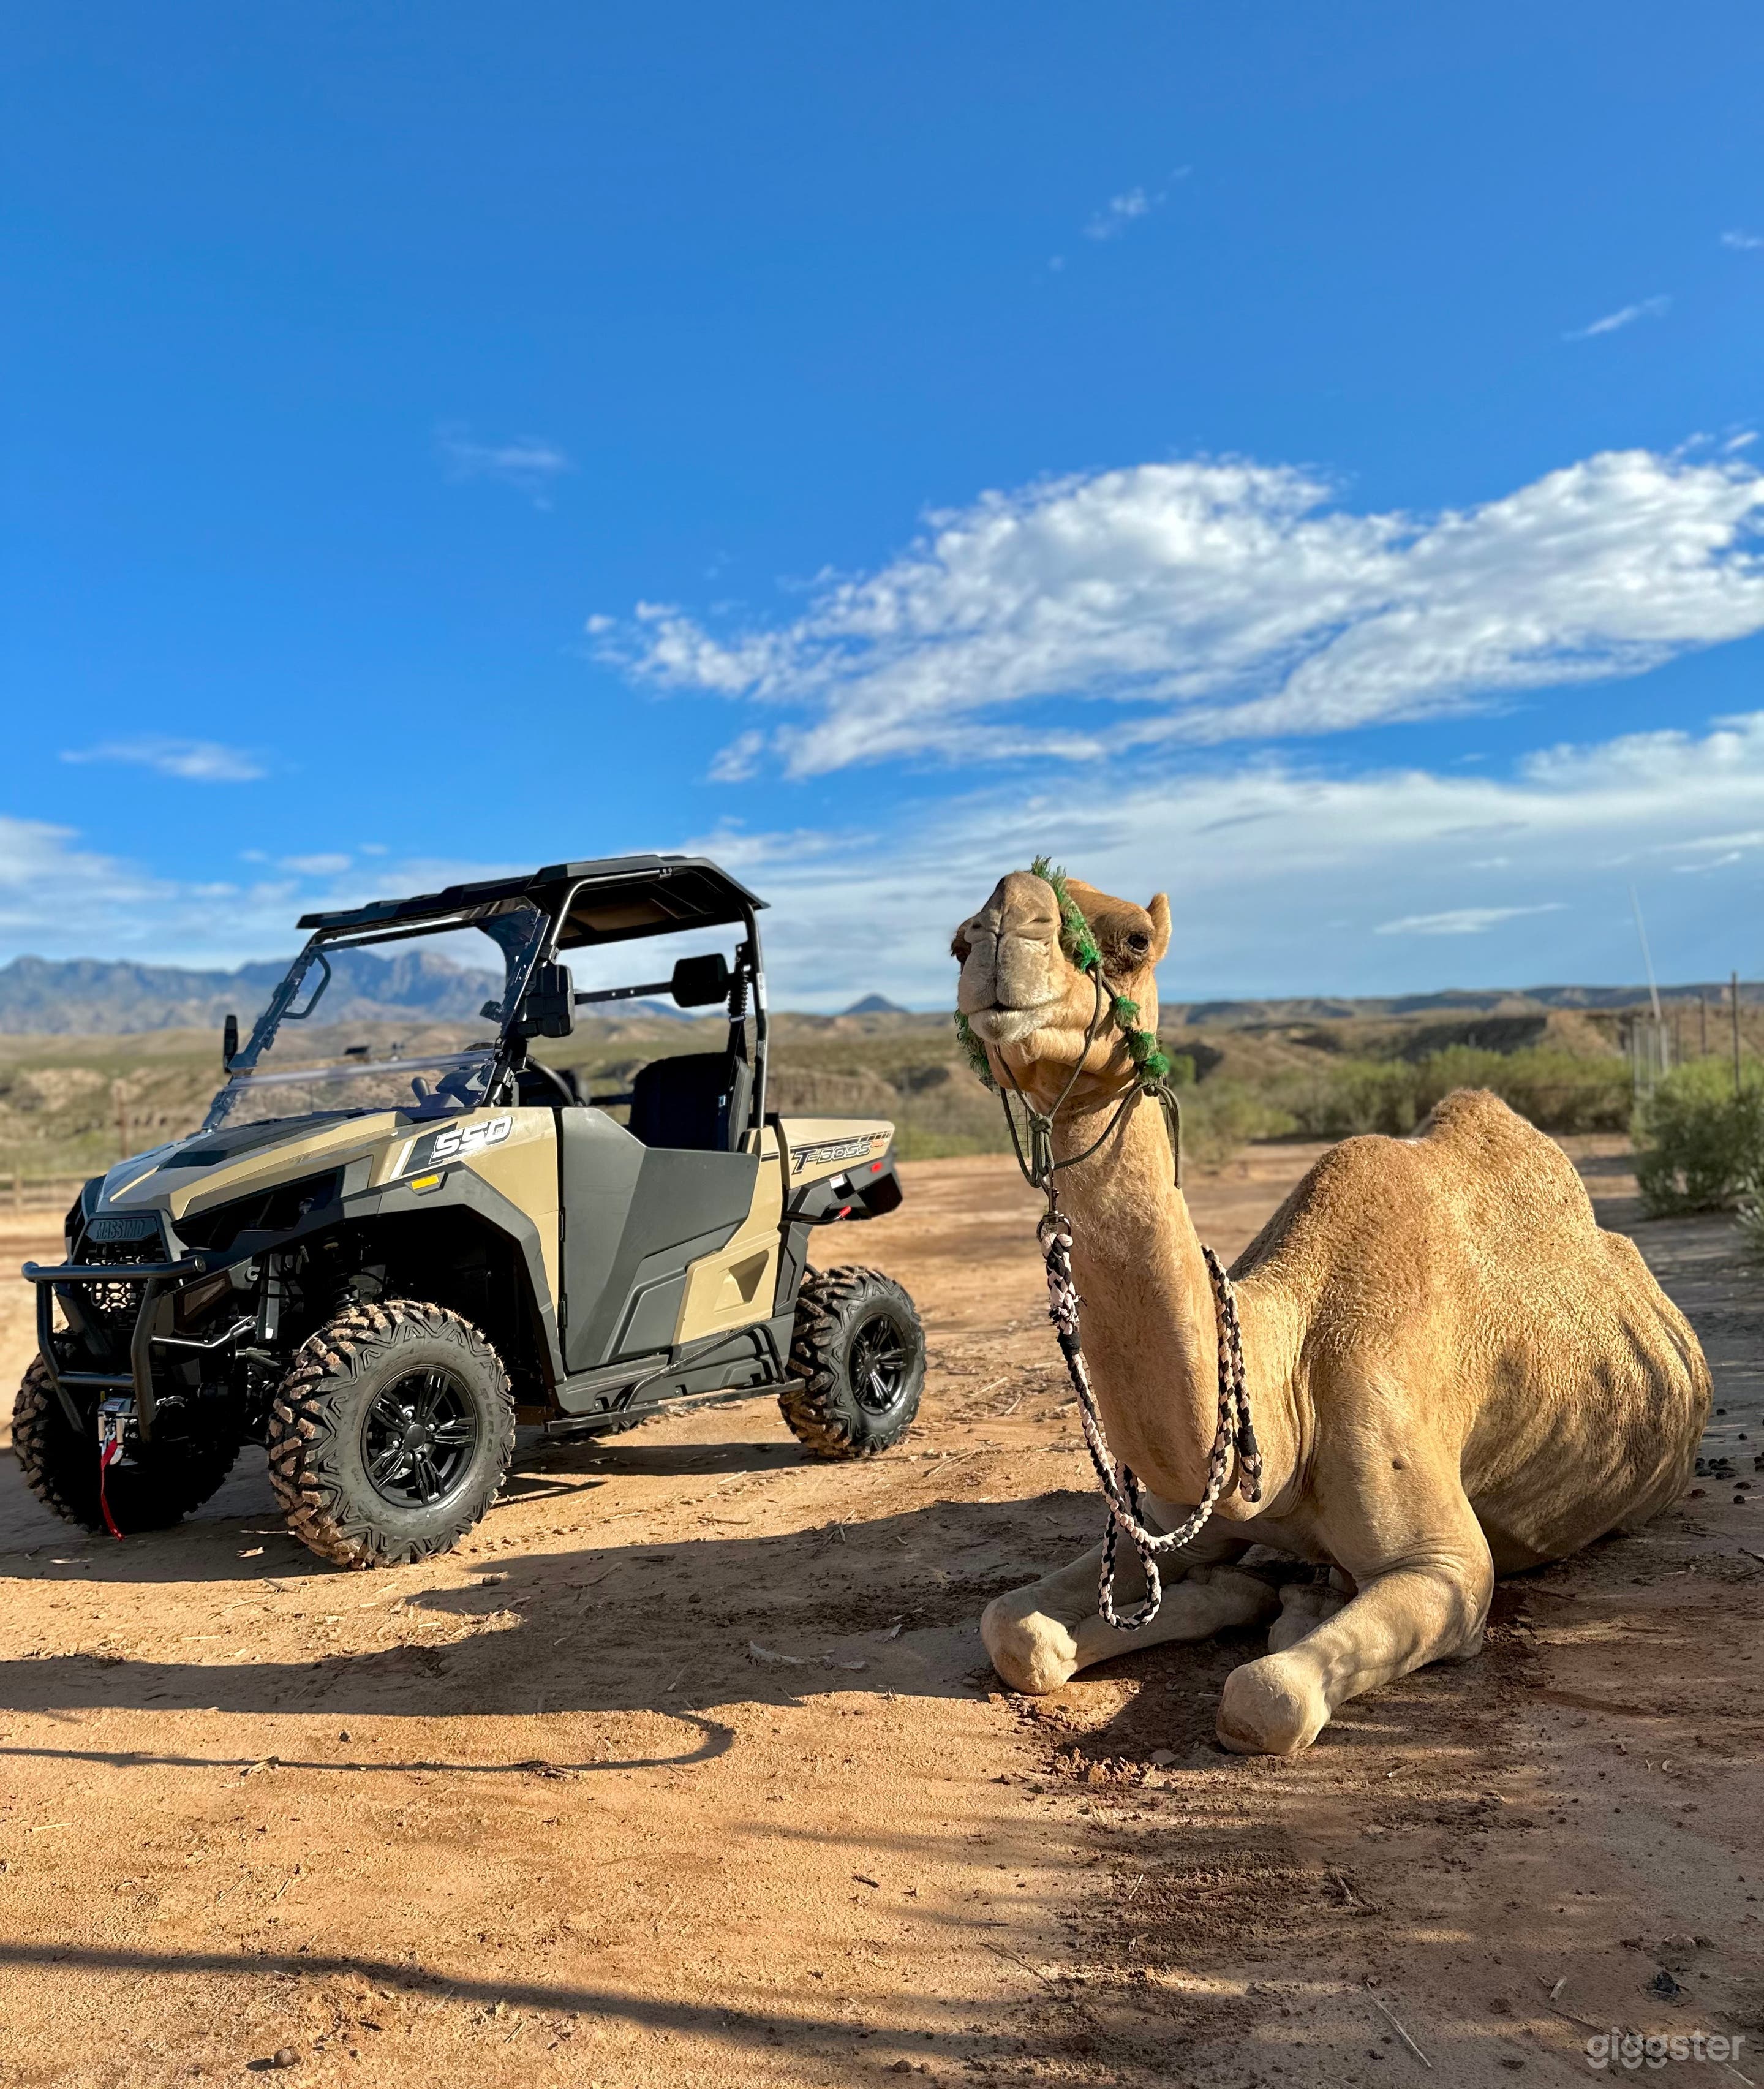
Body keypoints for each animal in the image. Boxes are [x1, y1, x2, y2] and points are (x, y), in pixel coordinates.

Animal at [956, 869, 1710, 1755]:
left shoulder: (1451, 1565)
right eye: (957, 942)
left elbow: (1267, 1696)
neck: (1289, 1385)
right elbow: (1013, 1629)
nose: (1000, 925)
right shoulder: (1182, 1518)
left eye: (1135, 940)